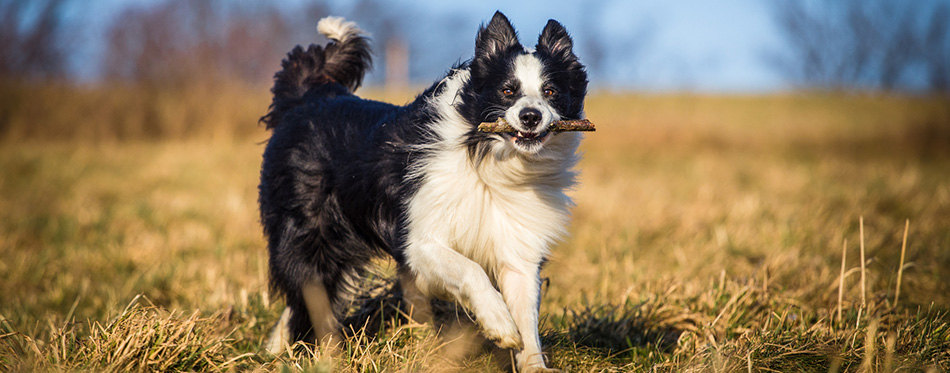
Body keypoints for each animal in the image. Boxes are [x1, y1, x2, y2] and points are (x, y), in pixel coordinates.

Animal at [260, 10, 588, 370]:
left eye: (551, 91)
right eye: (507, 90)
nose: (531, 116)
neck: (488, 159)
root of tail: (311, 96)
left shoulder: (518, 249)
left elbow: (527, 318)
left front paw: (533, 364)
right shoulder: (419, 242)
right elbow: (472, 271)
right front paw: (500, 324)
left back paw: (277, 349)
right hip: (310, 233)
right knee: (306, 290)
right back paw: (314, 352)